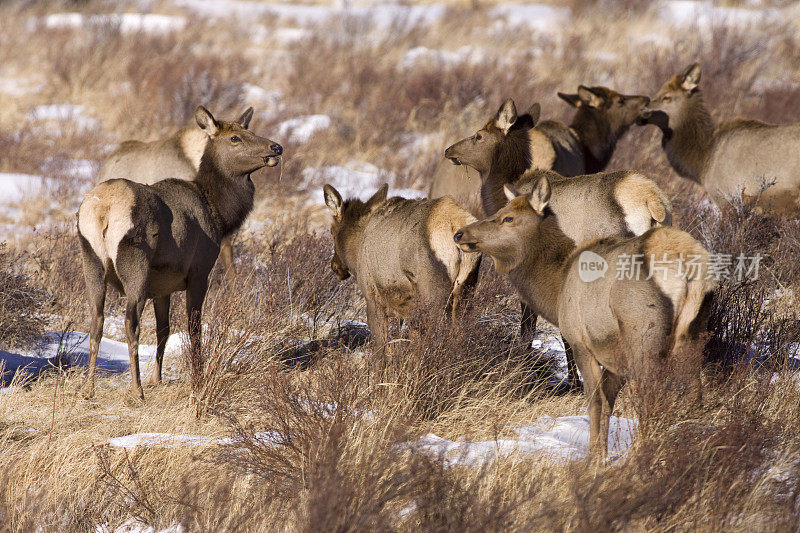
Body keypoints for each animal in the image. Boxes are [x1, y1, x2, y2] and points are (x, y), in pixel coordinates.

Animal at [324, 183, 482, 354]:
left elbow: (380, 348)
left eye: (332, 231)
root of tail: (455, 226)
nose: (334, 266)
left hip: (433, 290)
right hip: (467, 287)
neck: (356, 249)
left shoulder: (371, 294)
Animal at [454, 176, 716, 458]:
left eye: (508, 218)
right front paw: (602, 452)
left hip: (643, 336)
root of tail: (687, 266)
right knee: (695, 394)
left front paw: (595, 457)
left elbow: (594, 402)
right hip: (695, 332)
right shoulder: (614, 356)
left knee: (650, 398)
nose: (460, 233)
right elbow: (609, 402)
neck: (556, 290)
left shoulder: (581, 342)